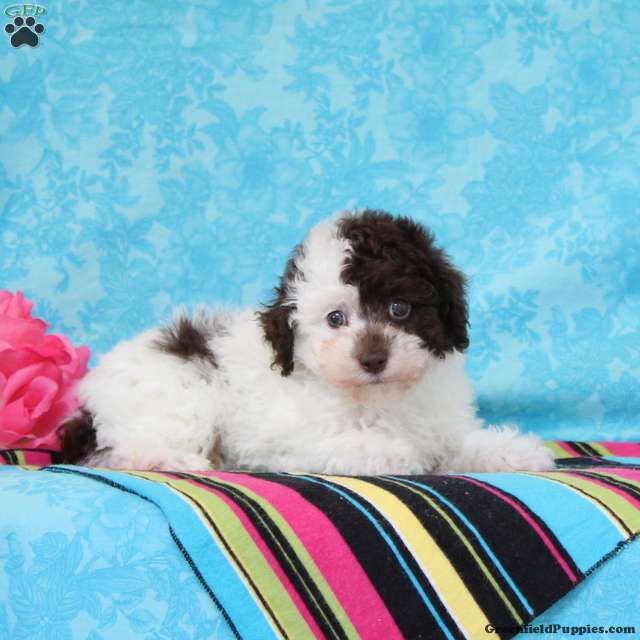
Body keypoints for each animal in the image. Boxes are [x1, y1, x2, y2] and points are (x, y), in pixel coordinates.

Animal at [60, 210, 555, 474]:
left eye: (399, 309)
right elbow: (351, 444)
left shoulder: (440, 421)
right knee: (127, 450)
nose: (373, 359)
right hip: (180, 391)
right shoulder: (287, 438)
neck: (379, 398)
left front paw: (514, 450)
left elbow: (461, 443)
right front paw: (396, 453)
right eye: (336, 319)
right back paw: (175, 462)